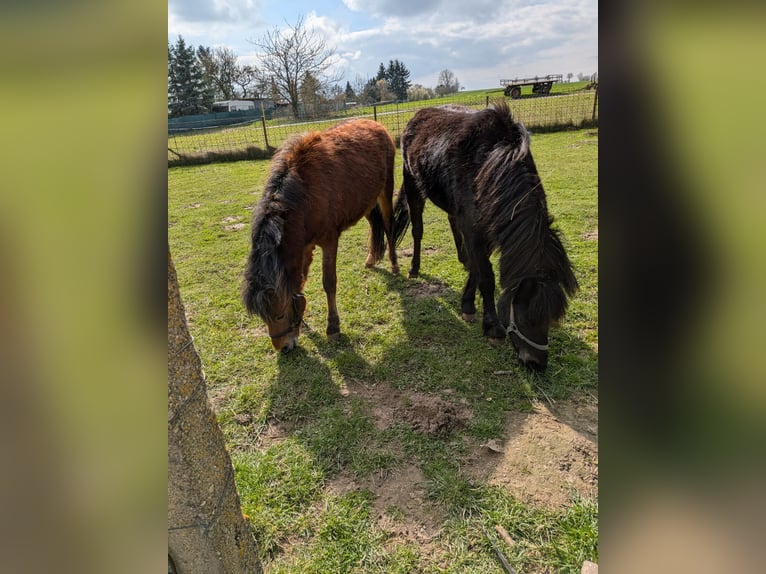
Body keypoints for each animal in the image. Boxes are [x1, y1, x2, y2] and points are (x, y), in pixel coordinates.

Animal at [241, 119, 406, 352]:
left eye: (279, 314)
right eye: (264, 318)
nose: (283, 348)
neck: (303, 196)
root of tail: (375, 124)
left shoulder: (329, 241)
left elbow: (329, 283)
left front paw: (333, 327)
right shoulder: (304, 246)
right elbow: (301, 281)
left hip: (385, 190)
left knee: (389, 226)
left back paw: (394, 264)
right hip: (366, 200)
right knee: (374, 224)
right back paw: (371, 258)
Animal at [394, 101, 578, 370]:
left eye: (551, 318)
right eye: (526, 317)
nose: (537, 364)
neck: (490, 164)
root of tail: (417, 116)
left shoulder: (489, 228)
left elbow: (478, 269)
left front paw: (468, 303)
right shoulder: (474, 229)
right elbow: (487, 278)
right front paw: (492, 327)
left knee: (452, 222)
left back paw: (462, 258)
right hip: (413, 186)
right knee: (417, 229)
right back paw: (414, 268)